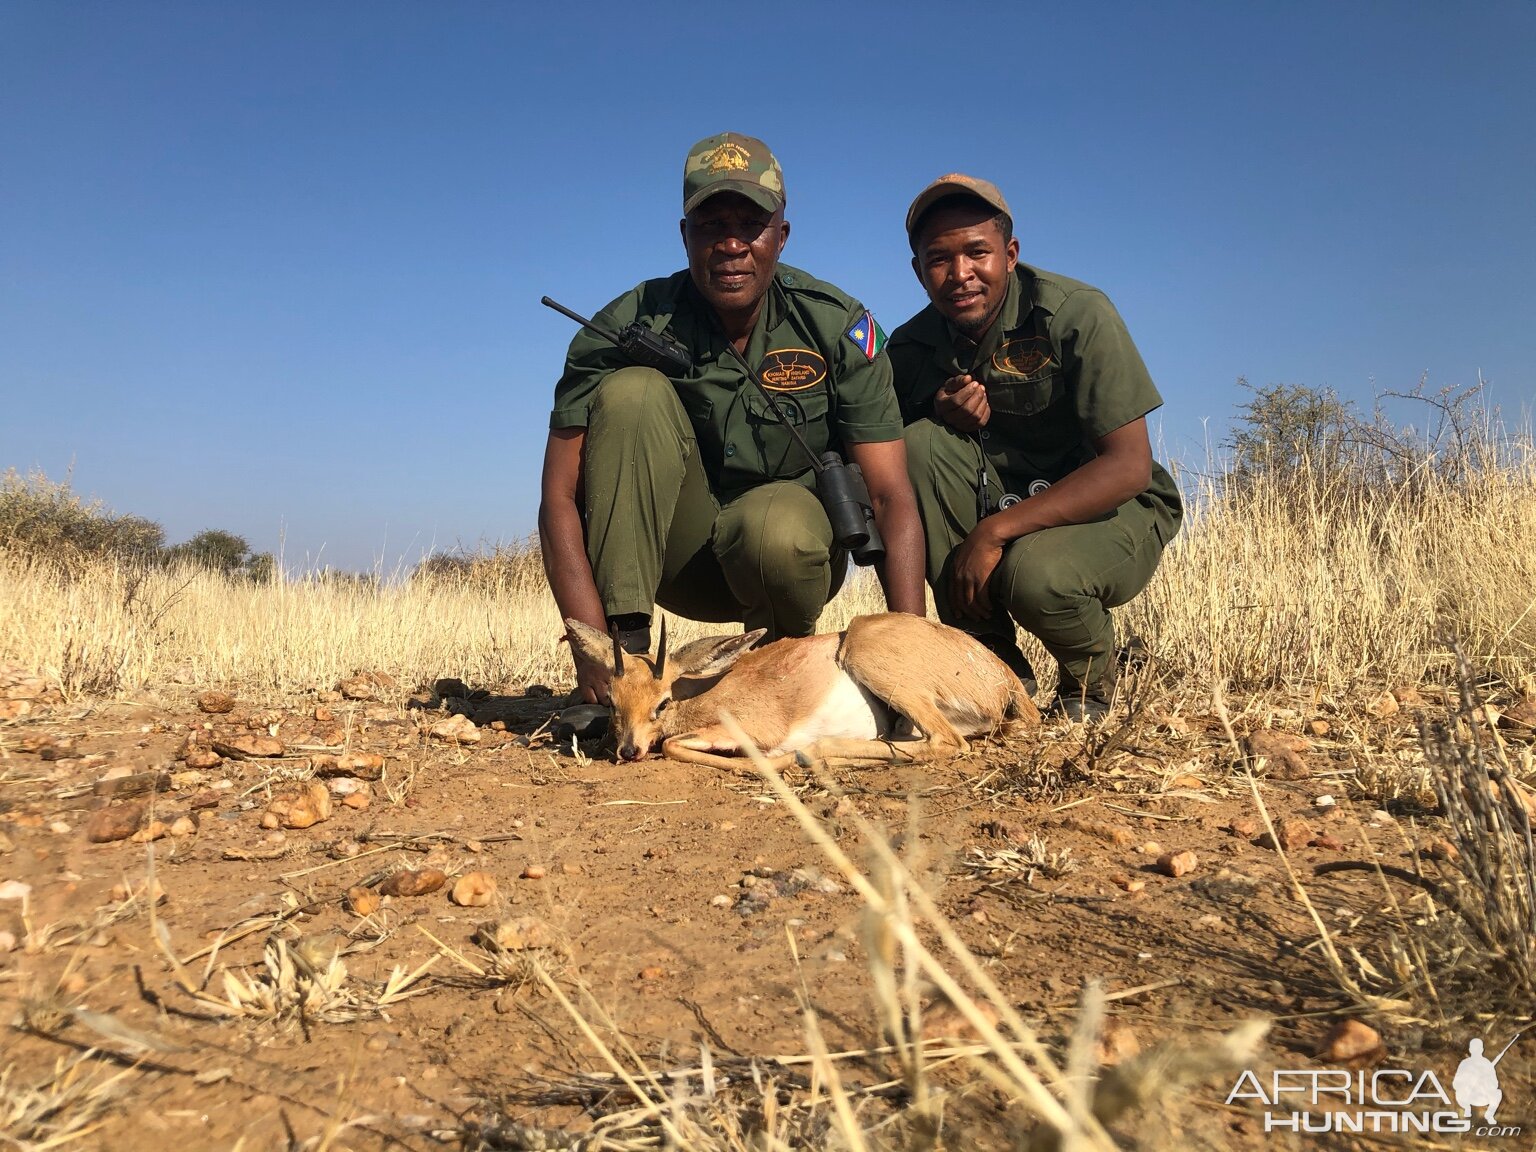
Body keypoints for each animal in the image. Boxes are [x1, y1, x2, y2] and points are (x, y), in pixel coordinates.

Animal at [559, 617, 1038, 771]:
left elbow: (675, 744)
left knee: (947, 742)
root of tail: (1002, 678)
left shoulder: (750, 727)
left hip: (872, 660)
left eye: (662, 702)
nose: (628, 750)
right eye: (613, 701)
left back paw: (810, 754)